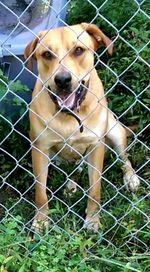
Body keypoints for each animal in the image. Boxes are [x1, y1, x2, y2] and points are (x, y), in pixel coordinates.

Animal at [24, 22, 139, 232]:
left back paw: (131, 178)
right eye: (47, 54)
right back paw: (71, 184)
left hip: (115, 131)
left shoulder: (96, 147)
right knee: (75, 167)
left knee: (124, 158)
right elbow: (40, 192)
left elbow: (95, 190)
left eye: (78, 50)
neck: (69, 115)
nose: (62, 80)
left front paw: (93, 220)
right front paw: (41, 220)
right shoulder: (40, 149)